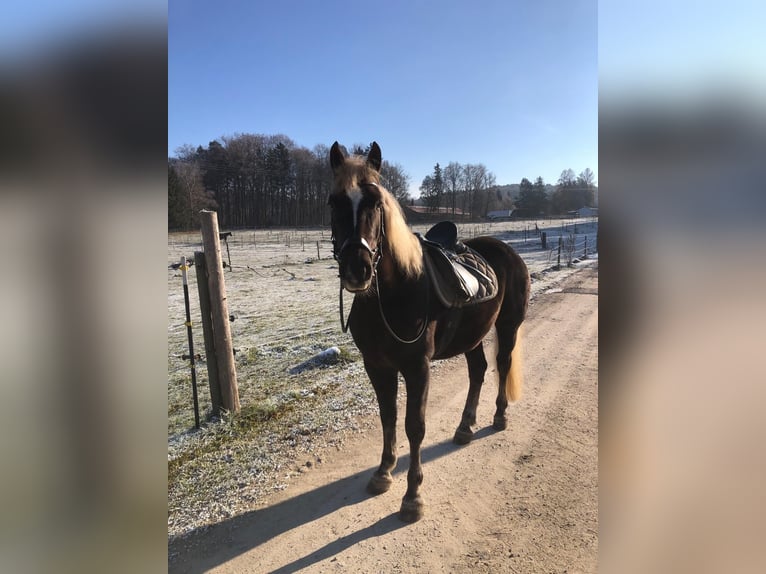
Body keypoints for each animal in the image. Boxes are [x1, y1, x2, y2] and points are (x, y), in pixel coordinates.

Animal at [328, 141, 530, 522]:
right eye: (334, 202)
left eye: (376, 203)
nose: (357, 269)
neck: (392, 294)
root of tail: (508, 251)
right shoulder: (376, 366)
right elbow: (388, 416)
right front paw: (383, 472)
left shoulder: (417, 367)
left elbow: (414, 426)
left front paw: (413, 496)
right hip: (473, 335)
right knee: (478, 371)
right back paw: (465, 427)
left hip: (508, 327)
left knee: (502, 365)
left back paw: (498, 417)